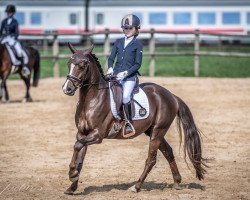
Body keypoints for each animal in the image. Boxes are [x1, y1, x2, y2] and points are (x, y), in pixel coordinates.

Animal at [62, 43, 207, 195]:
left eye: (83, 65)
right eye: (69, 63)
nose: (67, 89)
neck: (92, 100)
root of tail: (172, 96)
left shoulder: (97, 135)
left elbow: (77, 145)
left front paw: (72, 173)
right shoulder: (82, 133)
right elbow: (80, 156)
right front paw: (72, 185)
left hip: (158, 131)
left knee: (151, 159)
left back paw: (136, 186)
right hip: (153, 131)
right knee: (168, 152)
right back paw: (177, 182)